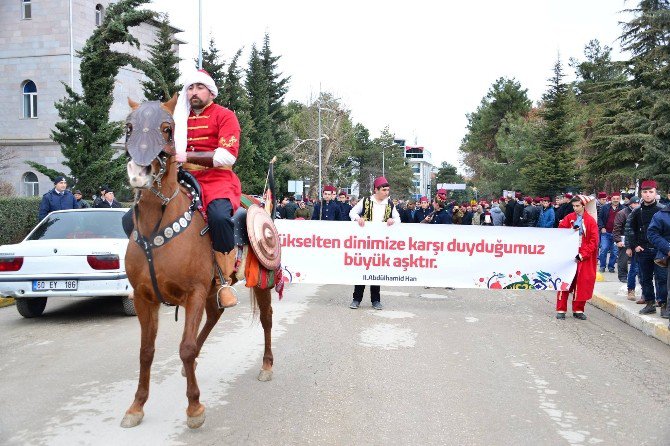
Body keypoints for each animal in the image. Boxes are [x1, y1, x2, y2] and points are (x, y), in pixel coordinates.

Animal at [121, 96, 276, 428]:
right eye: (129, 127)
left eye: (167, 129)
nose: (139, 171)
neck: (157, 227)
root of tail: (259, 202)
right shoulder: (144, 298)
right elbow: (146, 351)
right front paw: (136, 406)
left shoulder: (193, 292)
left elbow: (186, 347)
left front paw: (194, 407)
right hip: (214, 287)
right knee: (215, 314)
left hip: (260, 282)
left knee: (267, 320)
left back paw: (267, 365)